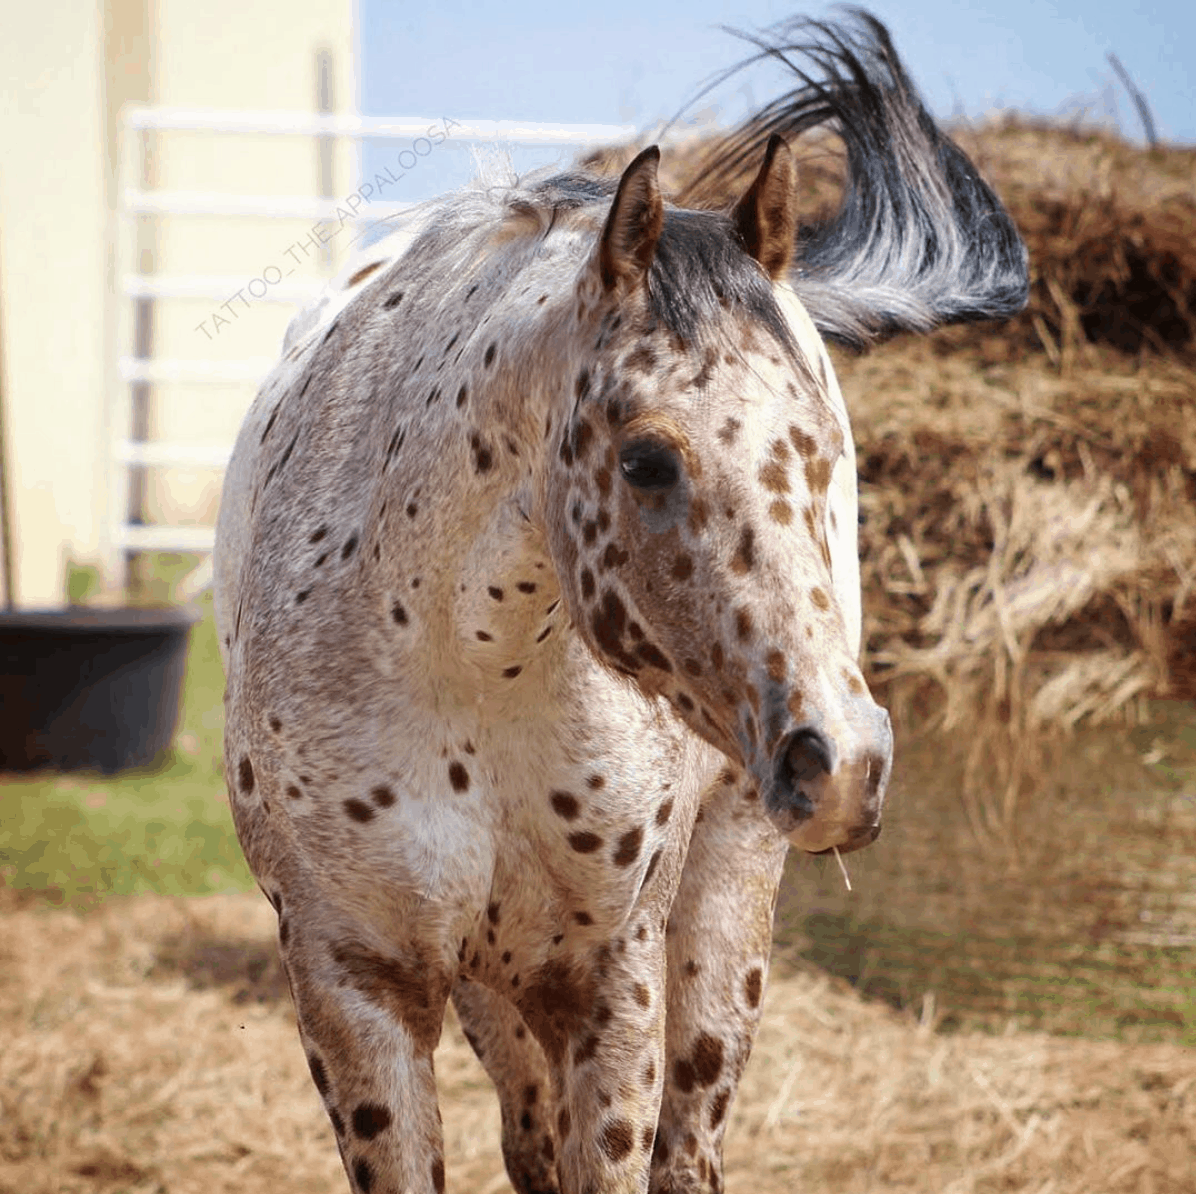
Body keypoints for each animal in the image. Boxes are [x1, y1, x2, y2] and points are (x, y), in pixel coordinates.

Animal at [212, 11, 1028, 1194]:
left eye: (823, 451)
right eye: (645, 459)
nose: (843, 759)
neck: (468, 664)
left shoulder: (613, 981)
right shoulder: (357, 987)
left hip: (726, 903)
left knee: (690, 1149)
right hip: (496, 992)